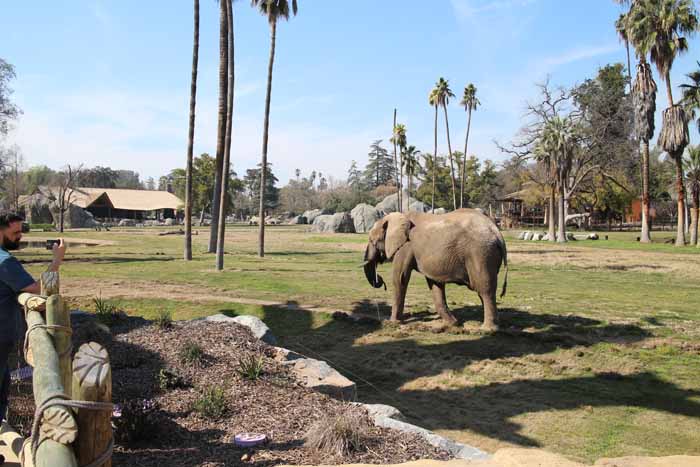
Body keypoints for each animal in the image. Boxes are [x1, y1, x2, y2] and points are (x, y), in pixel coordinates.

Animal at [363, 209, 508, 330]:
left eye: (372, 240)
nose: (380, 279)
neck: (399, 216)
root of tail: (497, 233)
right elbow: (435, 284)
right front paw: (452, 324)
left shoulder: (406, 246)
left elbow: (400, 278)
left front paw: (392, 322)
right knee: (483, 290)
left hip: (480, 254)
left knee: (484, 289)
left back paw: (487, 329)